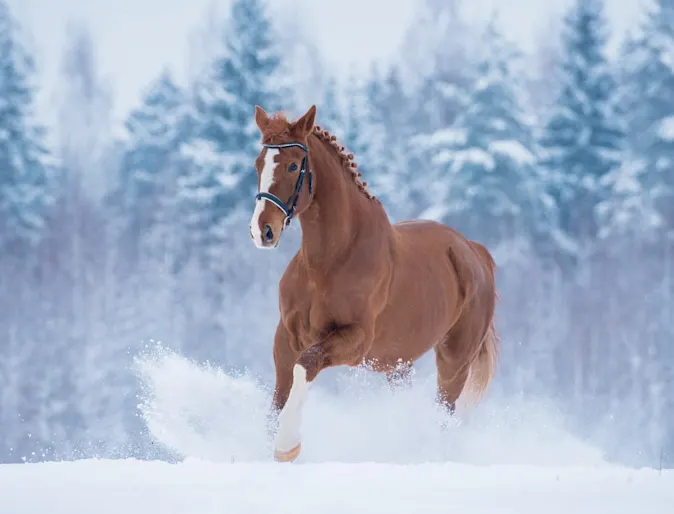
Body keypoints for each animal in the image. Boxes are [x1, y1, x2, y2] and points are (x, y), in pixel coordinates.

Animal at [249, 103, 496, 460]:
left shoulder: (354, 340)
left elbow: (304, 366)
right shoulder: (285, 336)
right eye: (258, 163)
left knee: (444, 412)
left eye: (294, 165)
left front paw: (287, 446)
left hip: (454, 361)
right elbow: (280, 394)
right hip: (398, 364)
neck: (328, 264)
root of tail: (474, 252)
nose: (262, 231)